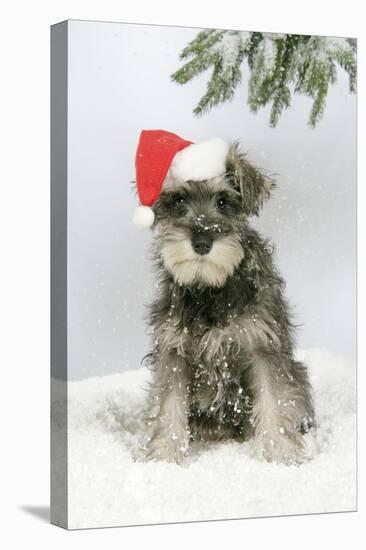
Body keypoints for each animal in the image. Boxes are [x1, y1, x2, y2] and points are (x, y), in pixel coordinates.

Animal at [142, 141, 314, 466]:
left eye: (223, 202)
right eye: (179, 199)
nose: (201, 242)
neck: (210, 289)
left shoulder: (262, 346)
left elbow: (275, 401)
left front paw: (282, 455)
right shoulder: (174, 351)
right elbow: (168, 406)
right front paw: (165, 456)